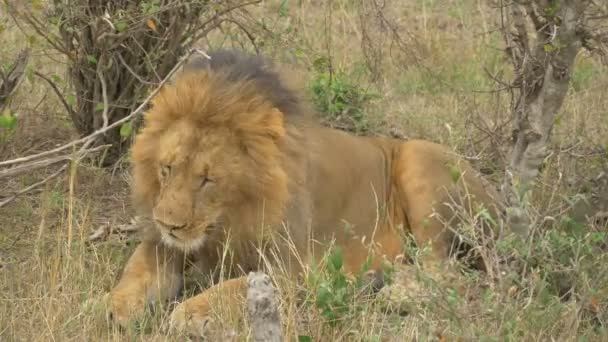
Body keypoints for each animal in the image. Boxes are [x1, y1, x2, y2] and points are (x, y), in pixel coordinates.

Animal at [107, 49, 506, 336]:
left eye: (208, 179)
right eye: (166, 169)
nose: (168, 224)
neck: (227, 221)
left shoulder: (293, 267)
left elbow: (235, 287)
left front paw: (190, 312)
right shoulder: (166, 246)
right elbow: (137, 269)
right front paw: (118, 306)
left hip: (420, 162)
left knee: (448, 273)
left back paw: (394, 291)